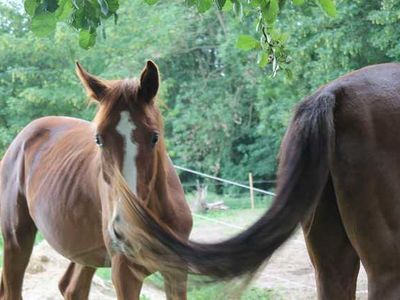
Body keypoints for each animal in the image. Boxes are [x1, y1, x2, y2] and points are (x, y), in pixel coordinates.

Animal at [0, 59, 192, 298]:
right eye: (99, 139)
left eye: (154, 137)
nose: (128, 229)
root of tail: (22, 138)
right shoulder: (125, 274)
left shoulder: (177, 273)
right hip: (16, 240)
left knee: (71, 288)